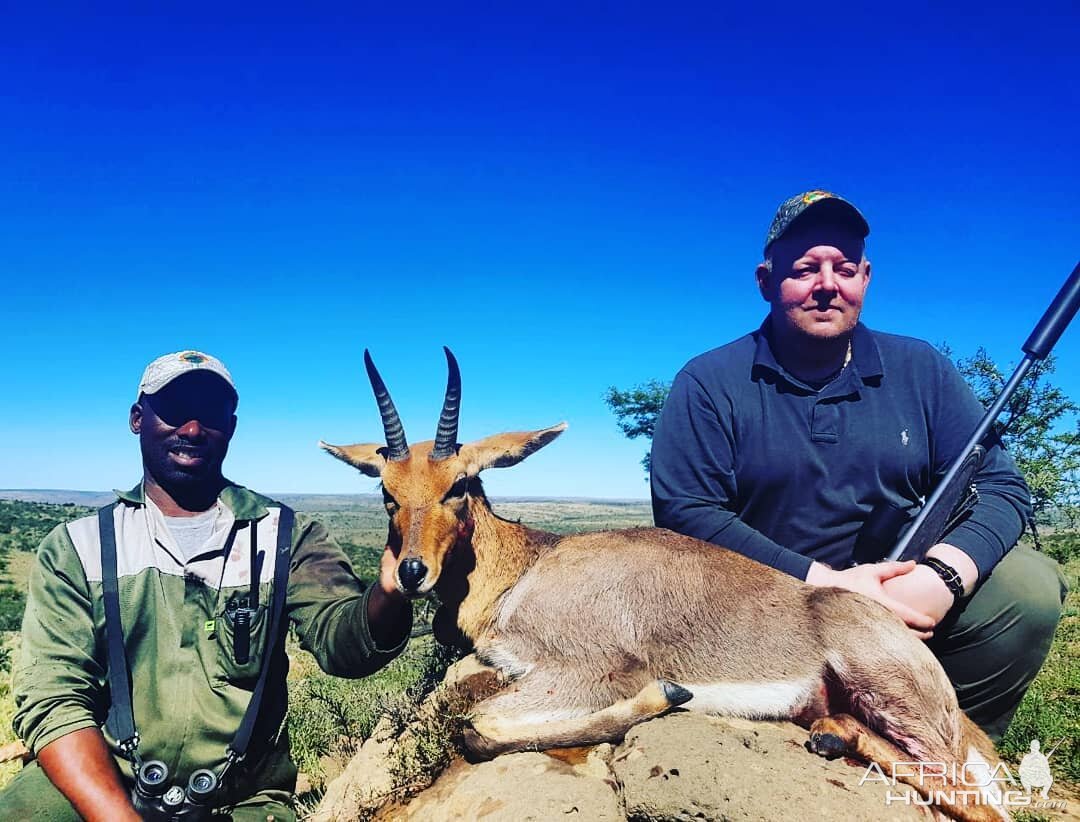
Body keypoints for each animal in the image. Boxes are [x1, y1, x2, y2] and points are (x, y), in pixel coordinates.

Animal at [319, 347, 1010, 820]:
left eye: (459, 484)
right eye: (387, 492)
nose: (412, 572)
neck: (533, 564)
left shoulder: (592, 668)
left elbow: (476, 726)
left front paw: (666, 694)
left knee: (976, 801)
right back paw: (831, 736)